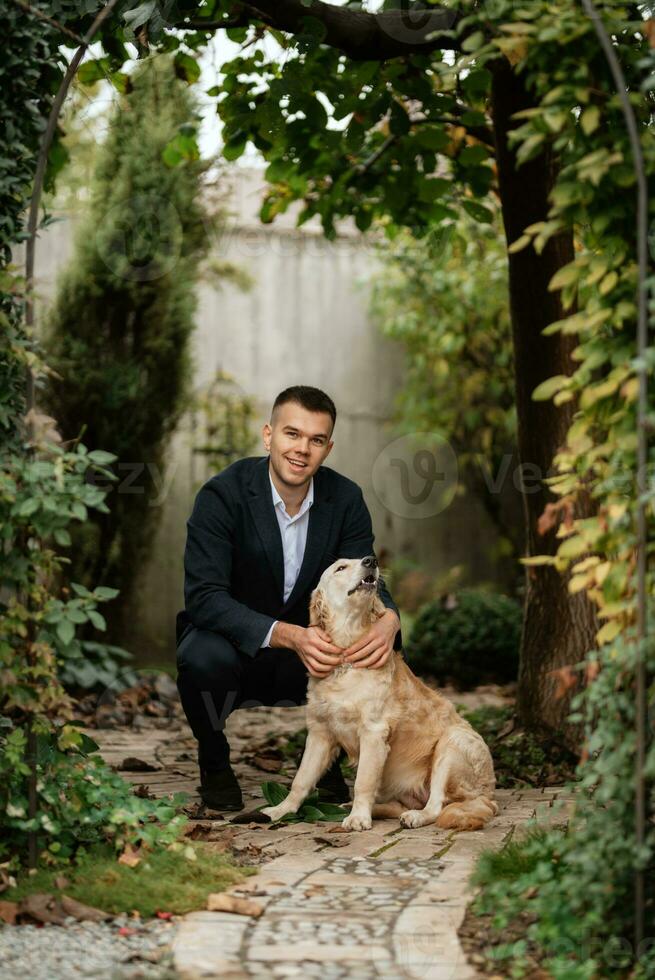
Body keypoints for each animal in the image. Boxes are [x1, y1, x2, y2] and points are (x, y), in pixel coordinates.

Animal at [262, 556, 498, 832]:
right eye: (340, 568)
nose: (371, 560)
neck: (345, 660)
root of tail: (489, 797)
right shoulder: (320, 733)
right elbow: (301, 779)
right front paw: (281, 810)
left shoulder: (373, 733)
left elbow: (363, 781)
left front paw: (358, 818)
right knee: (398, 805)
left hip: (452, 743)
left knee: (436, 806)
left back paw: (413, 816)